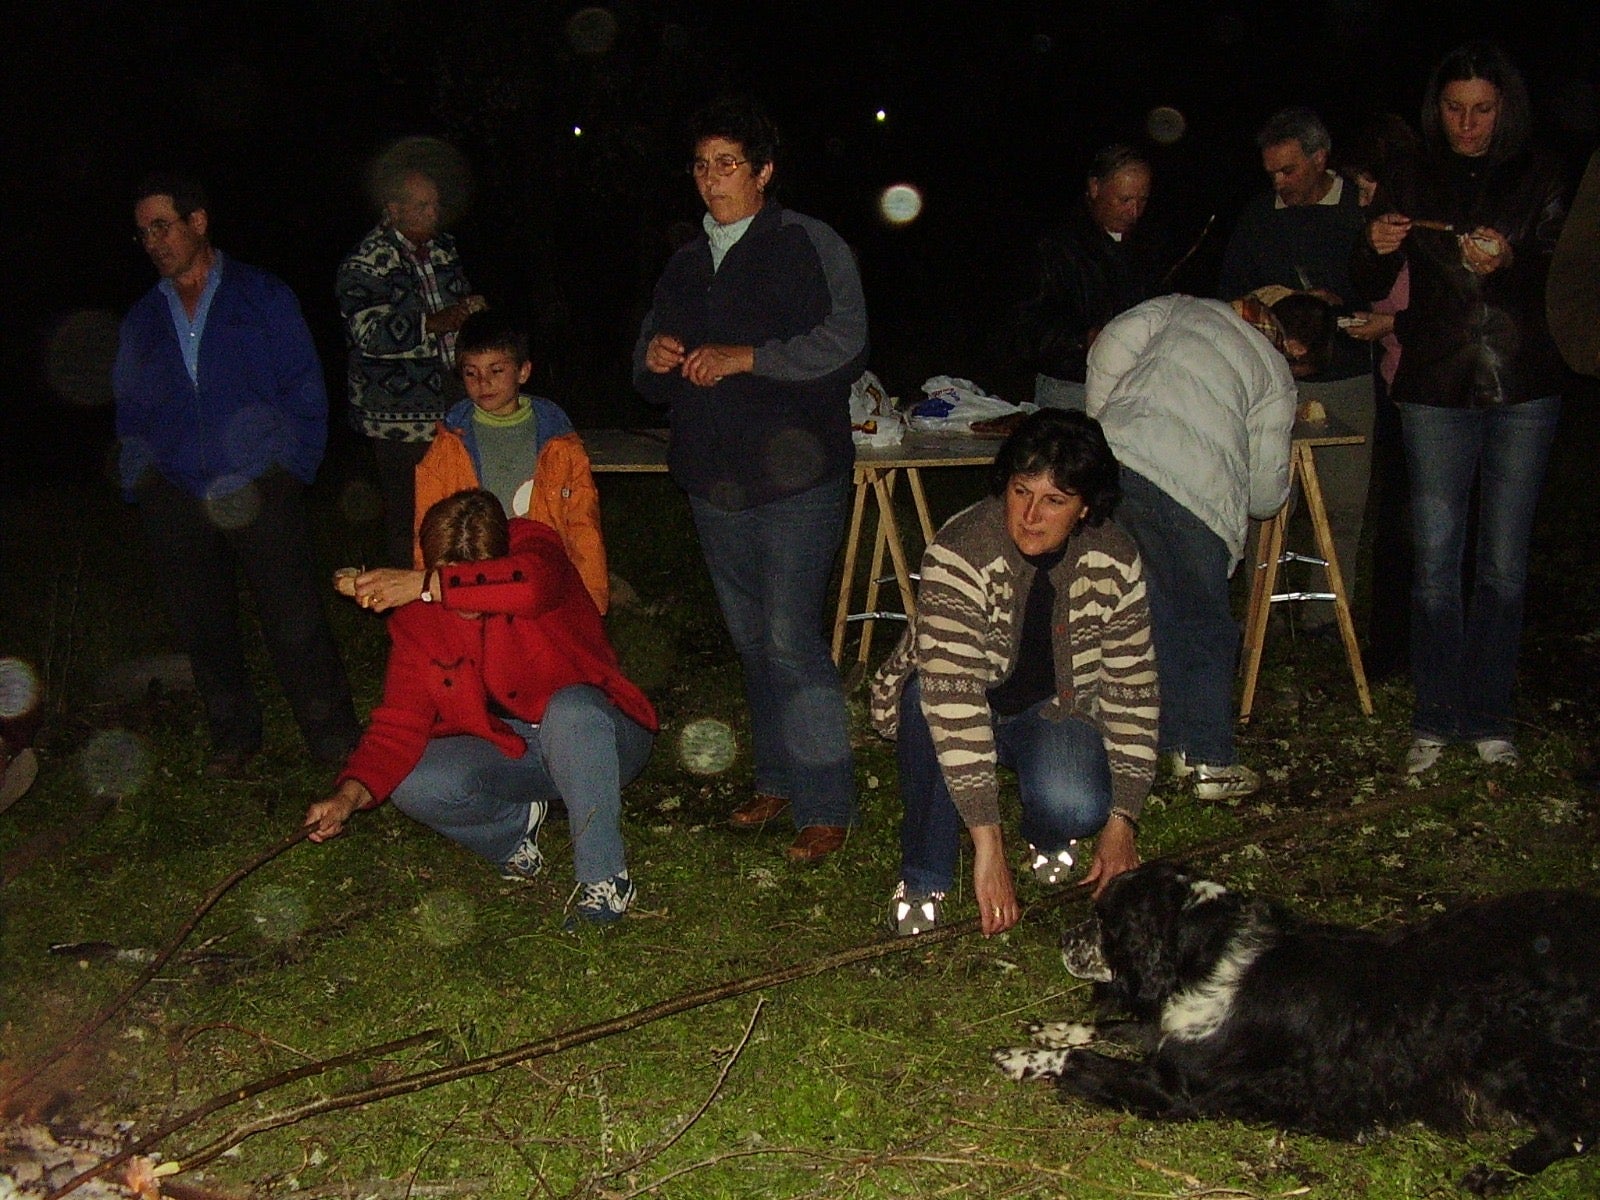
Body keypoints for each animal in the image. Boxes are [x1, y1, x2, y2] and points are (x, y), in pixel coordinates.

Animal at [992, 864, 1593, 1196]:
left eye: (1103, 919)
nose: (1064, 939)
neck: (1205, 951)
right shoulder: (1176, 1038)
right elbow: (1116, 1028)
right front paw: (1053, 1029)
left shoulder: (1175, 1089)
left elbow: (1090, 1061)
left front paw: (1024, 1058)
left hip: (1500, 1052)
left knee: (1576, 1130)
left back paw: (1498, 1173)